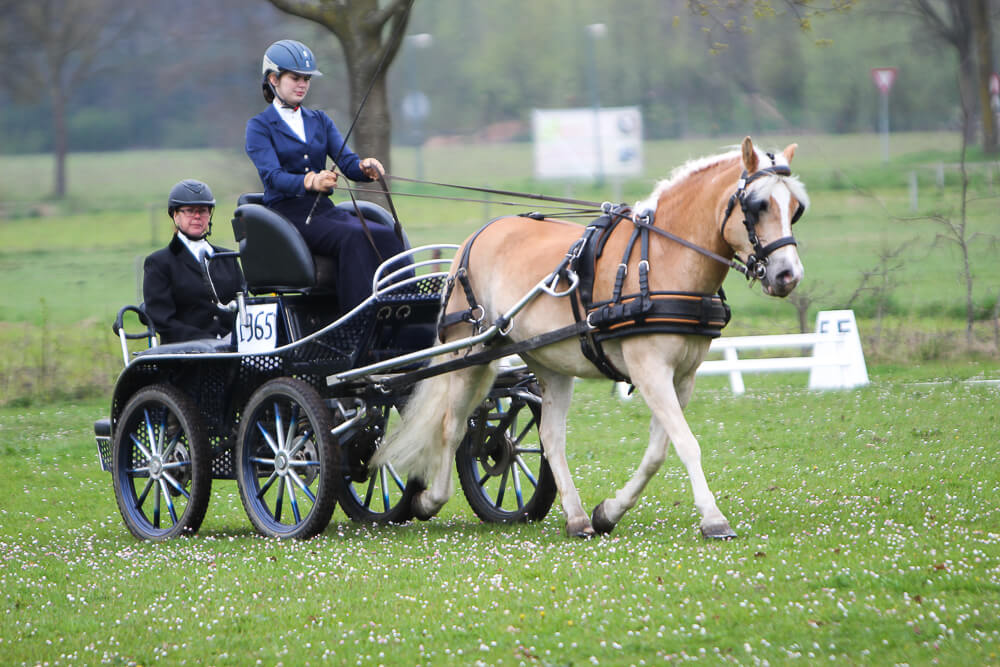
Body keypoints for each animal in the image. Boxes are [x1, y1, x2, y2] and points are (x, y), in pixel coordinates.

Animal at [372, 136, 808, 536]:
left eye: (795, 209)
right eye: (758, 206)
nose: (788, 275)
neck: (661, 259)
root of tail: (474, 239)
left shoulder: (682, 377)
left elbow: (658, 450)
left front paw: (608, 512)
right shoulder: (650, 370)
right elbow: (686, 443)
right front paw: (714, 519)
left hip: (549, 363)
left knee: (549, 436)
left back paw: (578, 517)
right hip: (467, 353)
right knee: (452, 424)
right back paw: (430, 499)